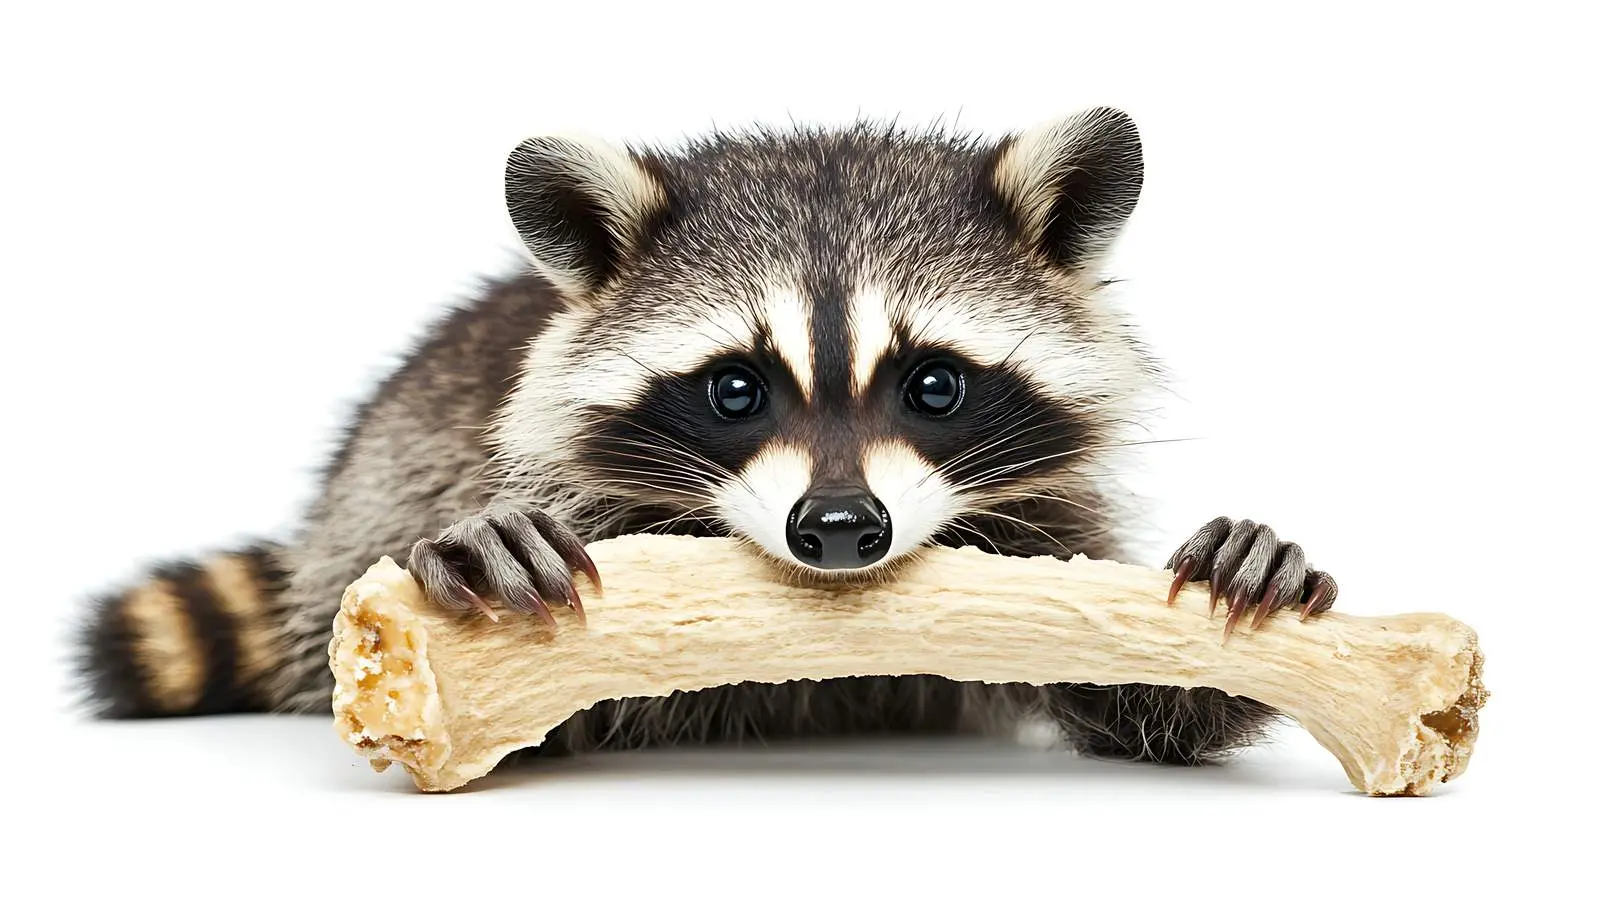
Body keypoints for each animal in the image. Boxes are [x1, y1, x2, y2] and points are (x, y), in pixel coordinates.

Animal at [75, 107, 1339, 765]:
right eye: (737, 391)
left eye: (934, 385)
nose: (840, 527)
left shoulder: (1049, 527)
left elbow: (1146, 699)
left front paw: (1241, 568)